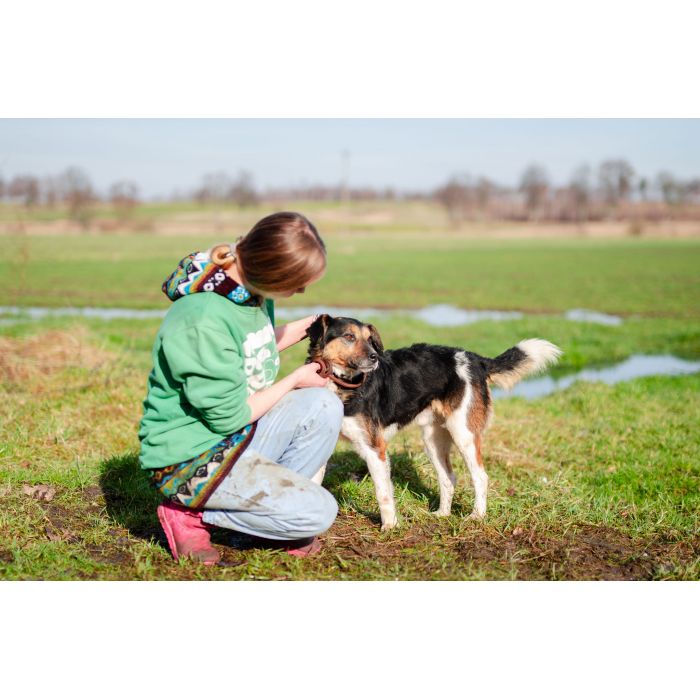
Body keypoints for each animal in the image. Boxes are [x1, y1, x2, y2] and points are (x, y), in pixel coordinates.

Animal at [306, 316, 564, 532]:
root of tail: (477, 360)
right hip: (433, 440)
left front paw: (390, 527)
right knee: (448, 478)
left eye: (370, 340)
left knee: (480, 477)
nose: (374, 358)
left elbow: (383, 493)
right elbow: (311, 482)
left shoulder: (374, 449)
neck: (342, 385)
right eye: (349, 336)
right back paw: (442, 514)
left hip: (464, 434)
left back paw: (477, 516)